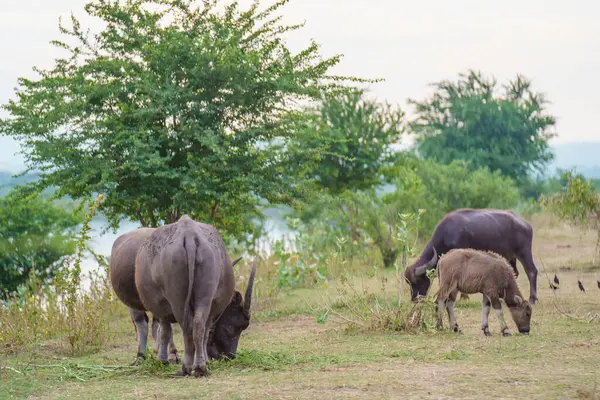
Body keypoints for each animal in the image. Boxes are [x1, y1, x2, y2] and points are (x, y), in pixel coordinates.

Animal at [404, 209, 540, 304]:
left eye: (417, 281)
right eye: (408, 283)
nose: (414, 299)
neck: (446, 234)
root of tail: (525, 224)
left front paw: (464, 297)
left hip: (523, 252)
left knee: (531, 271)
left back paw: (532, 299)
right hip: (511, 257)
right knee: (514, 272)